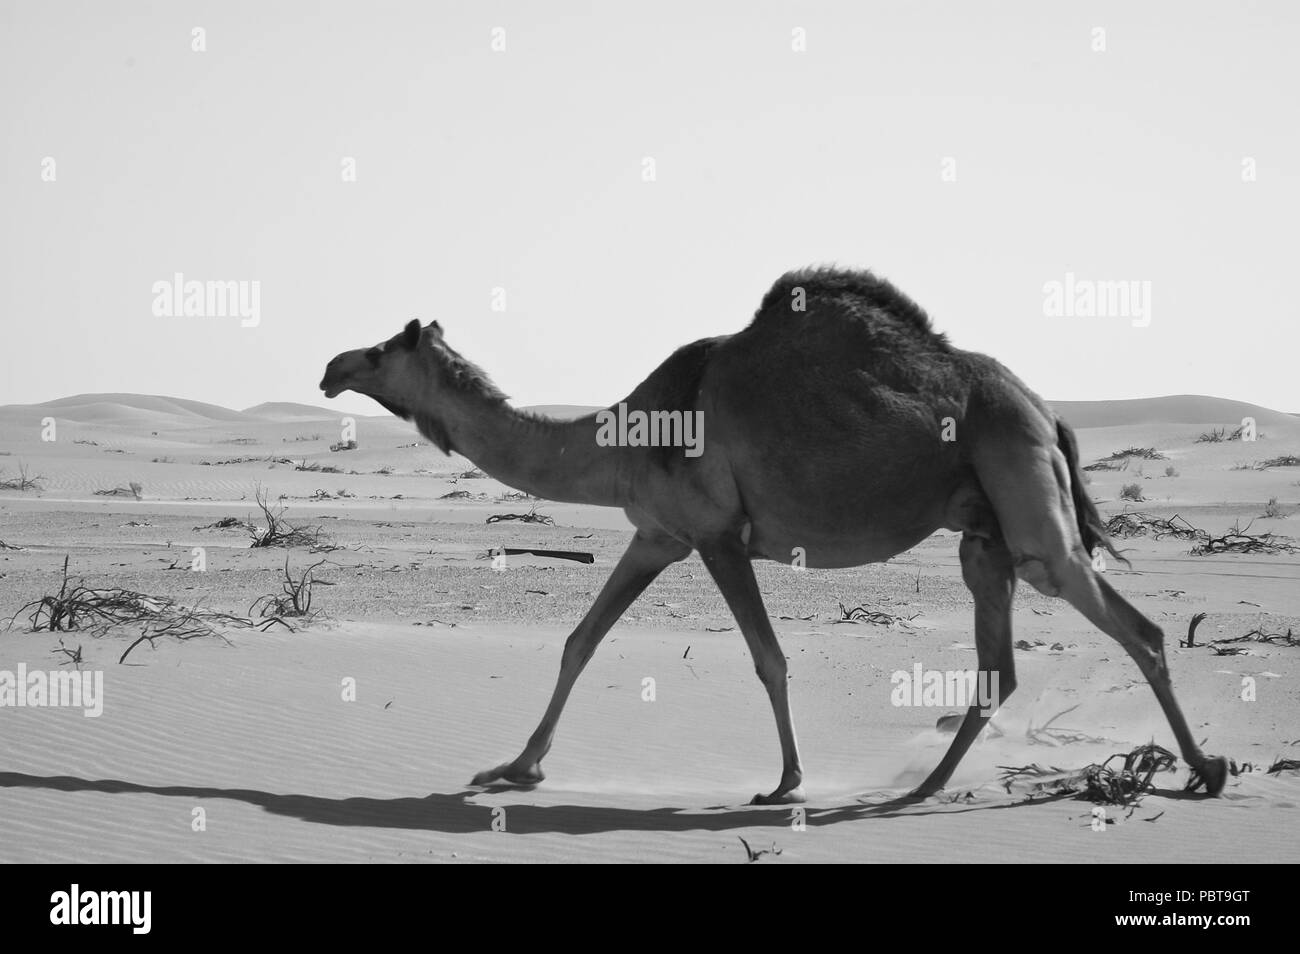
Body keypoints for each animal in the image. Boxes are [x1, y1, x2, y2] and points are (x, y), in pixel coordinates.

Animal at [319, 267, 1222, 805]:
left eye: (383, 347)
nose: (331, 366)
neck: (625, 433)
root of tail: (1046, 411)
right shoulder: (658, 534)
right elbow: (580, 640)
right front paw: (515, 766)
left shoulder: (718, 534)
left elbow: (768, 657)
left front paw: (786, 782)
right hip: (982, 534)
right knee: (999, 662)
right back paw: (919, 787)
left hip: (1025, 501)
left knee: (1130, 624)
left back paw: (1206, 769)